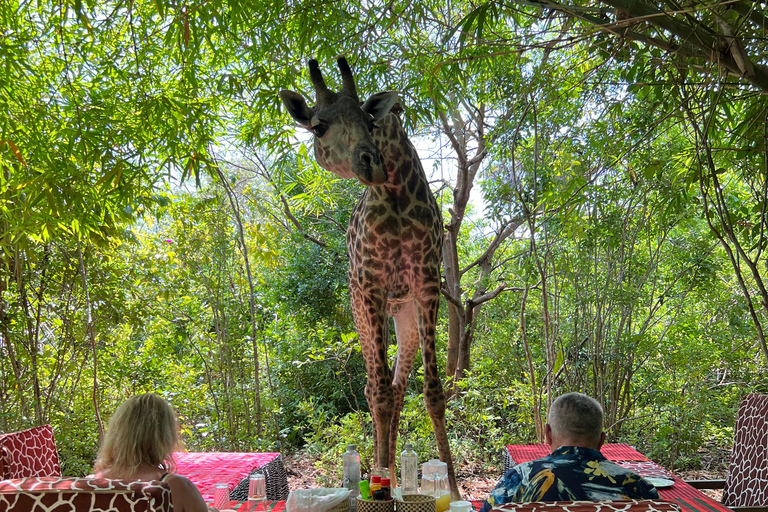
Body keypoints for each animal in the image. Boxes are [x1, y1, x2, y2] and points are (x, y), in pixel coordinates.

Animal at [280, 57, 460, 500]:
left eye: (369, 119)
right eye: (318, 126)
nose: (373, 163)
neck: (395, 190)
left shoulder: (427, 283)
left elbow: (432, 393)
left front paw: (452, 488)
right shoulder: (372, 286)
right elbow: (376, 394)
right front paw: (377, 479)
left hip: (405, 317)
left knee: (396, 388)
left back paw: (393, 473)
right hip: (361, 311)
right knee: (373, 387)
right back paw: (382, 472)